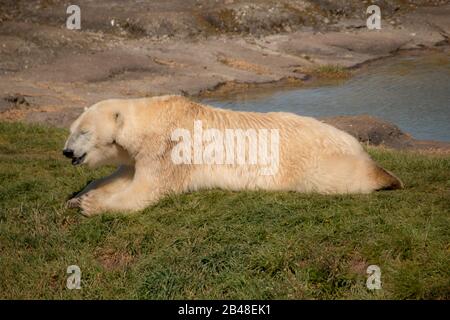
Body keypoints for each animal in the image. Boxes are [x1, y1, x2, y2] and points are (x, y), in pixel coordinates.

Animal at [62, 95, 400, 215]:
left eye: (84, 132)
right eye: (72, 128)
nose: (67, 152)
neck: (152, 119)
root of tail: (352, 142)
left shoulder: (169, 150)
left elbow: (147, 190)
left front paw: (92, 205)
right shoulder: (141, 154)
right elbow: (122, 176)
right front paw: (78, 197)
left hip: (316, 161)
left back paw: (387, 178)